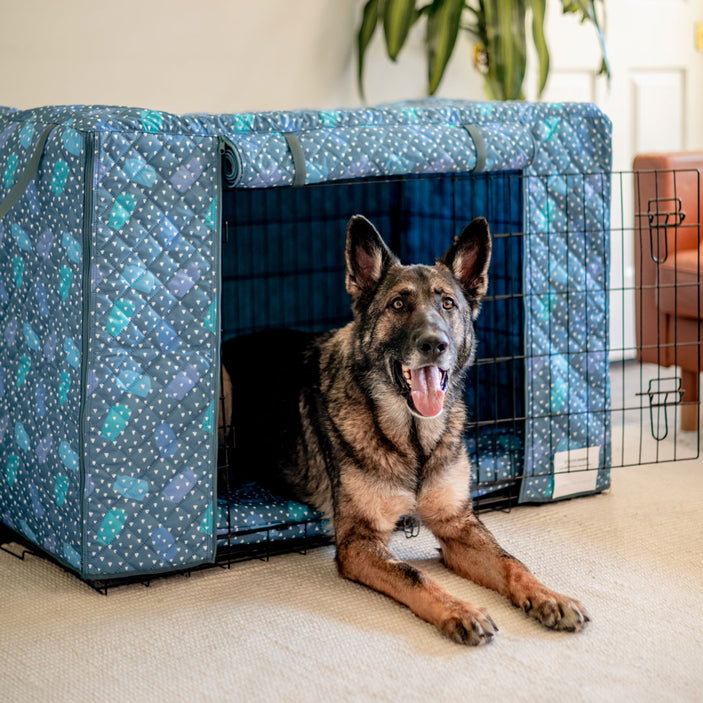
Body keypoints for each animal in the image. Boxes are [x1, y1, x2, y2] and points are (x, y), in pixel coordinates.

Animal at [221, 216, 588, 648]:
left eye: (448, 304)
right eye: (398, 304)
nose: (435, 344)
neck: (413, 439)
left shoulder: (458, 523)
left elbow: (511, 561)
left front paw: (549, 596)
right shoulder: (359, 541)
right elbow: (415, 575)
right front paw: (459, 609)